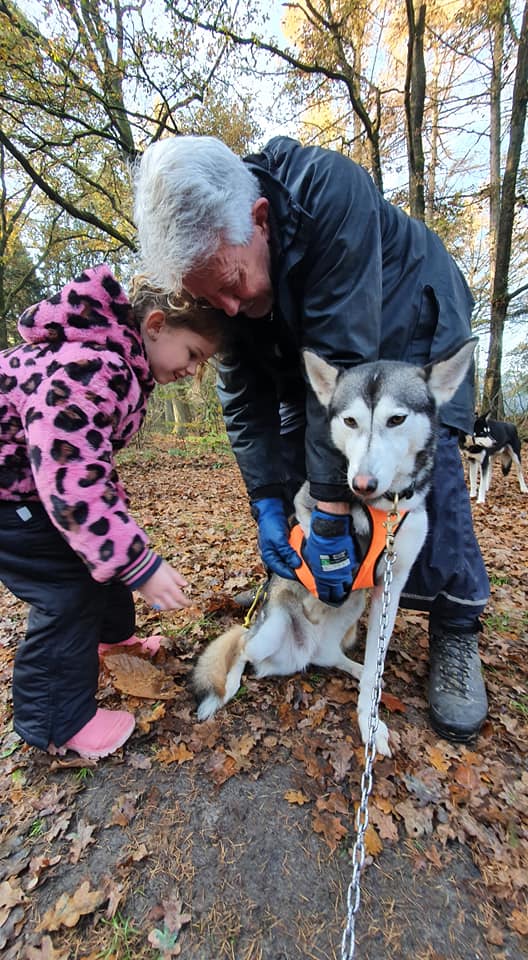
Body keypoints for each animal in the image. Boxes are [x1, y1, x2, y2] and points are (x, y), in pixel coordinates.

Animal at [194, 340, 478, 756]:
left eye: (396, 419)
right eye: (350, 421)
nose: (362, 483)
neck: (385, 510)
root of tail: (305, 652)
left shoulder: (391, 586)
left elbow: (377, 662)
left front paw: (371, 719)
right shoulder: (308, 500)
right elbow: (311, 527)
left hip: (352, 615)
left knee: (334, 658)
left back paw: (356, 671)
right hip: (269, 631)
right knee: (243, 646)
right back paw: (227, 685)